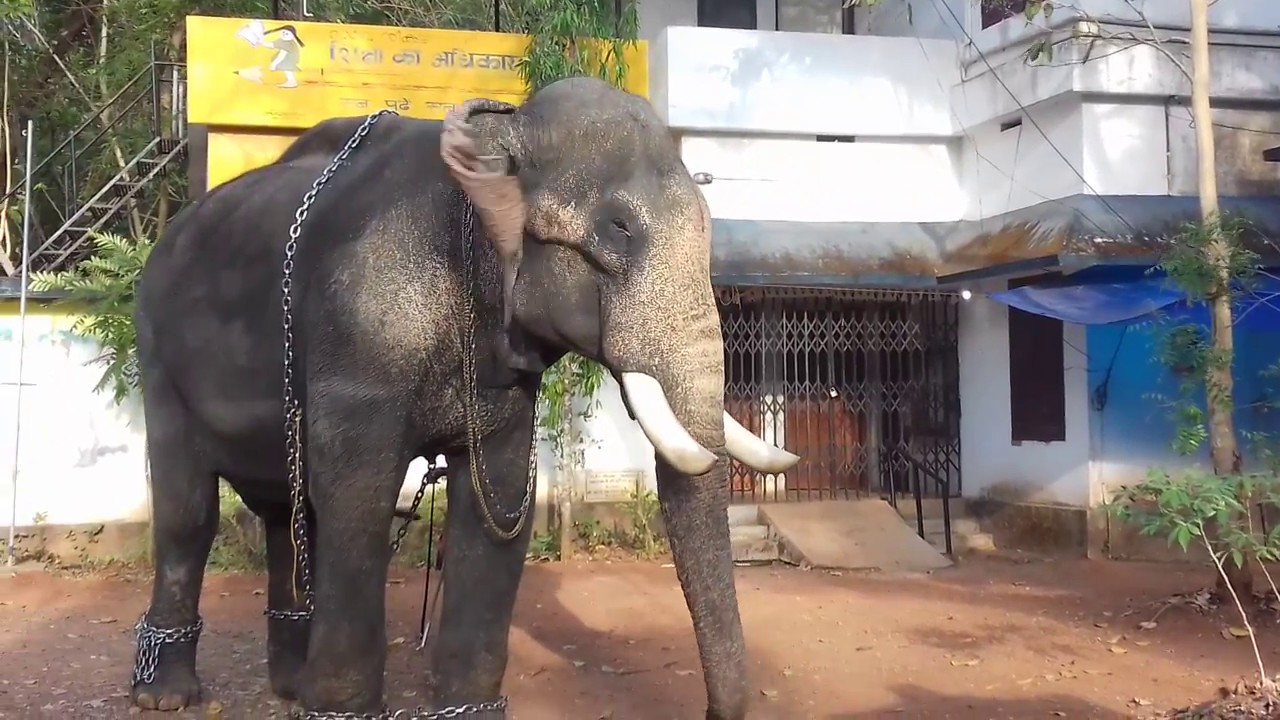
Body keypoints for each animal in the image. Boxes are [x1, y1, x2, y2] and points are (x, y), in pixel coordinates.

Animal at [128, 75, 800, 719]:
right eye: (618, 228)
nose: (712, 710)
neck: (500, 136)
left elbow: (497, 498)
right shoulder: (363, 334)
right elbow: (358, 498)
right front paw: (344, 709)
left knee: (285, 511)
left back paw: (290, 687)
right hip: (156, 350)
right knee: (191, 511)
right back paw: (166, 696)